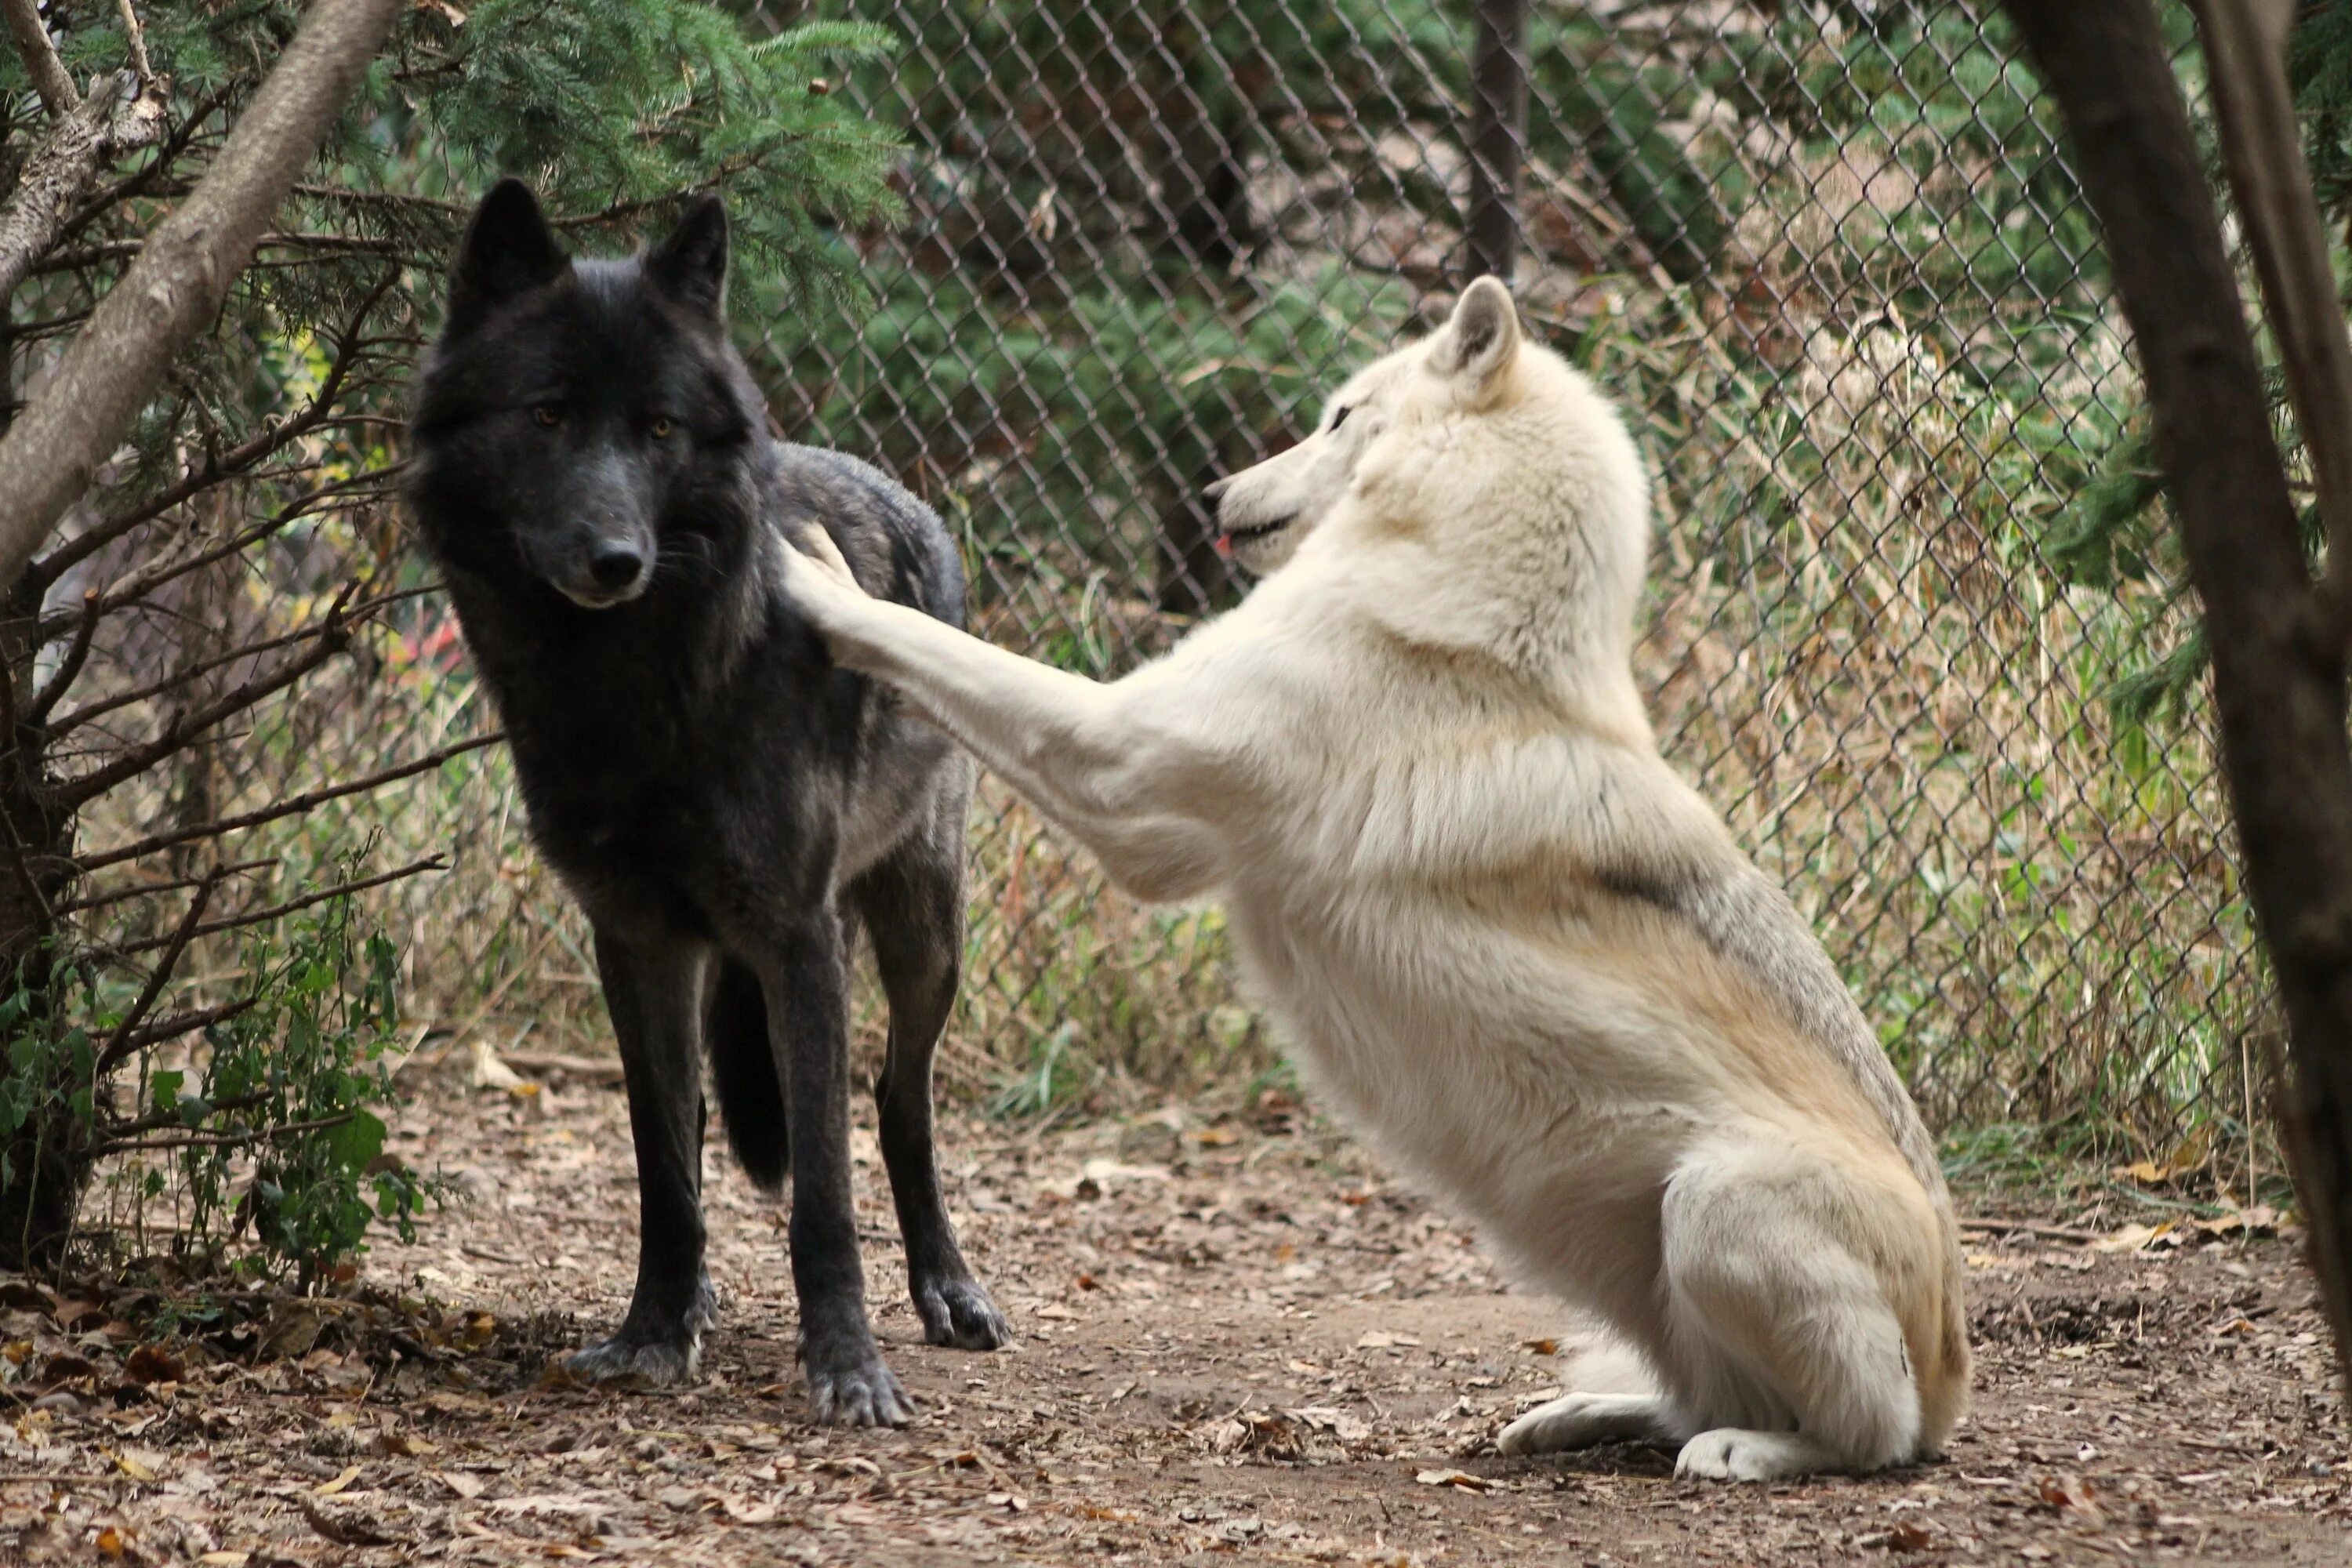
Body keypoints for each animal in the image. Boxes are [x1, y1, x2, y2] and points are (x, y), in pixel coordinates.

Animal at [407, 180, 1011, 1420]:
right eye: (547, 414)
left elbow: (824, 1192)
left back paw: (946, 1290)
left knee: (899, 1099)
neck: (629, 689)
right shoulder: (632, 936)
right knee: (690, 1123)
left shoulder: (798, 936)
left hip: (925, 934)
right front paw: (654, 1328)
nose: (615, 558)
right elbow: (661, 1167)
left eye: (661, 429)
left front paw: (848, 1368)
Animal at [781, 276, 1976, 1476]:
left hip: (1719, 1206)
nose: (1211, 491)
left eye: (1340, 418)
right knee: (1689, 1394)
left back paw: (1749, 1450)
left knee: (1864, 1435)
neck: (1470, 623)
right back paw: (1583, 1413)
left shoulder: (1118, 763)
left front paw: (808, 570)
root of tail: (1956, 1380)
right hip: (1647, 1272)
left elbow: (922, 637)